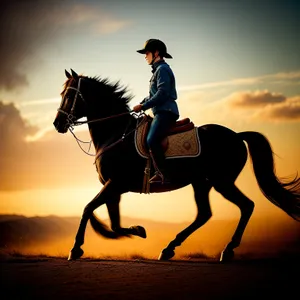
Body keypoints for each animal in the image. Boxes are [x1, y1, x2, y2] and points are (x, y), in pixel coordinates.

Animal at [53, 69, 300, 262]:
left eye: (69, 94)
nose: (57, 124)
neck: (117, 133)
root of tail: (237, 136)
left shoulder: (115, 184)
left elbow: (88, 208)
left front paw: (75, 249)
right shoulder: (115, 188)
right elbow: (112, 223)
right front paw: (138, 230)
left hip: (222, 182)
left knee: (246, 206)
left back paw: (227, 250)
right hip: (202, 183)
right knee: (204, 214)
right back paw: (168, 249)